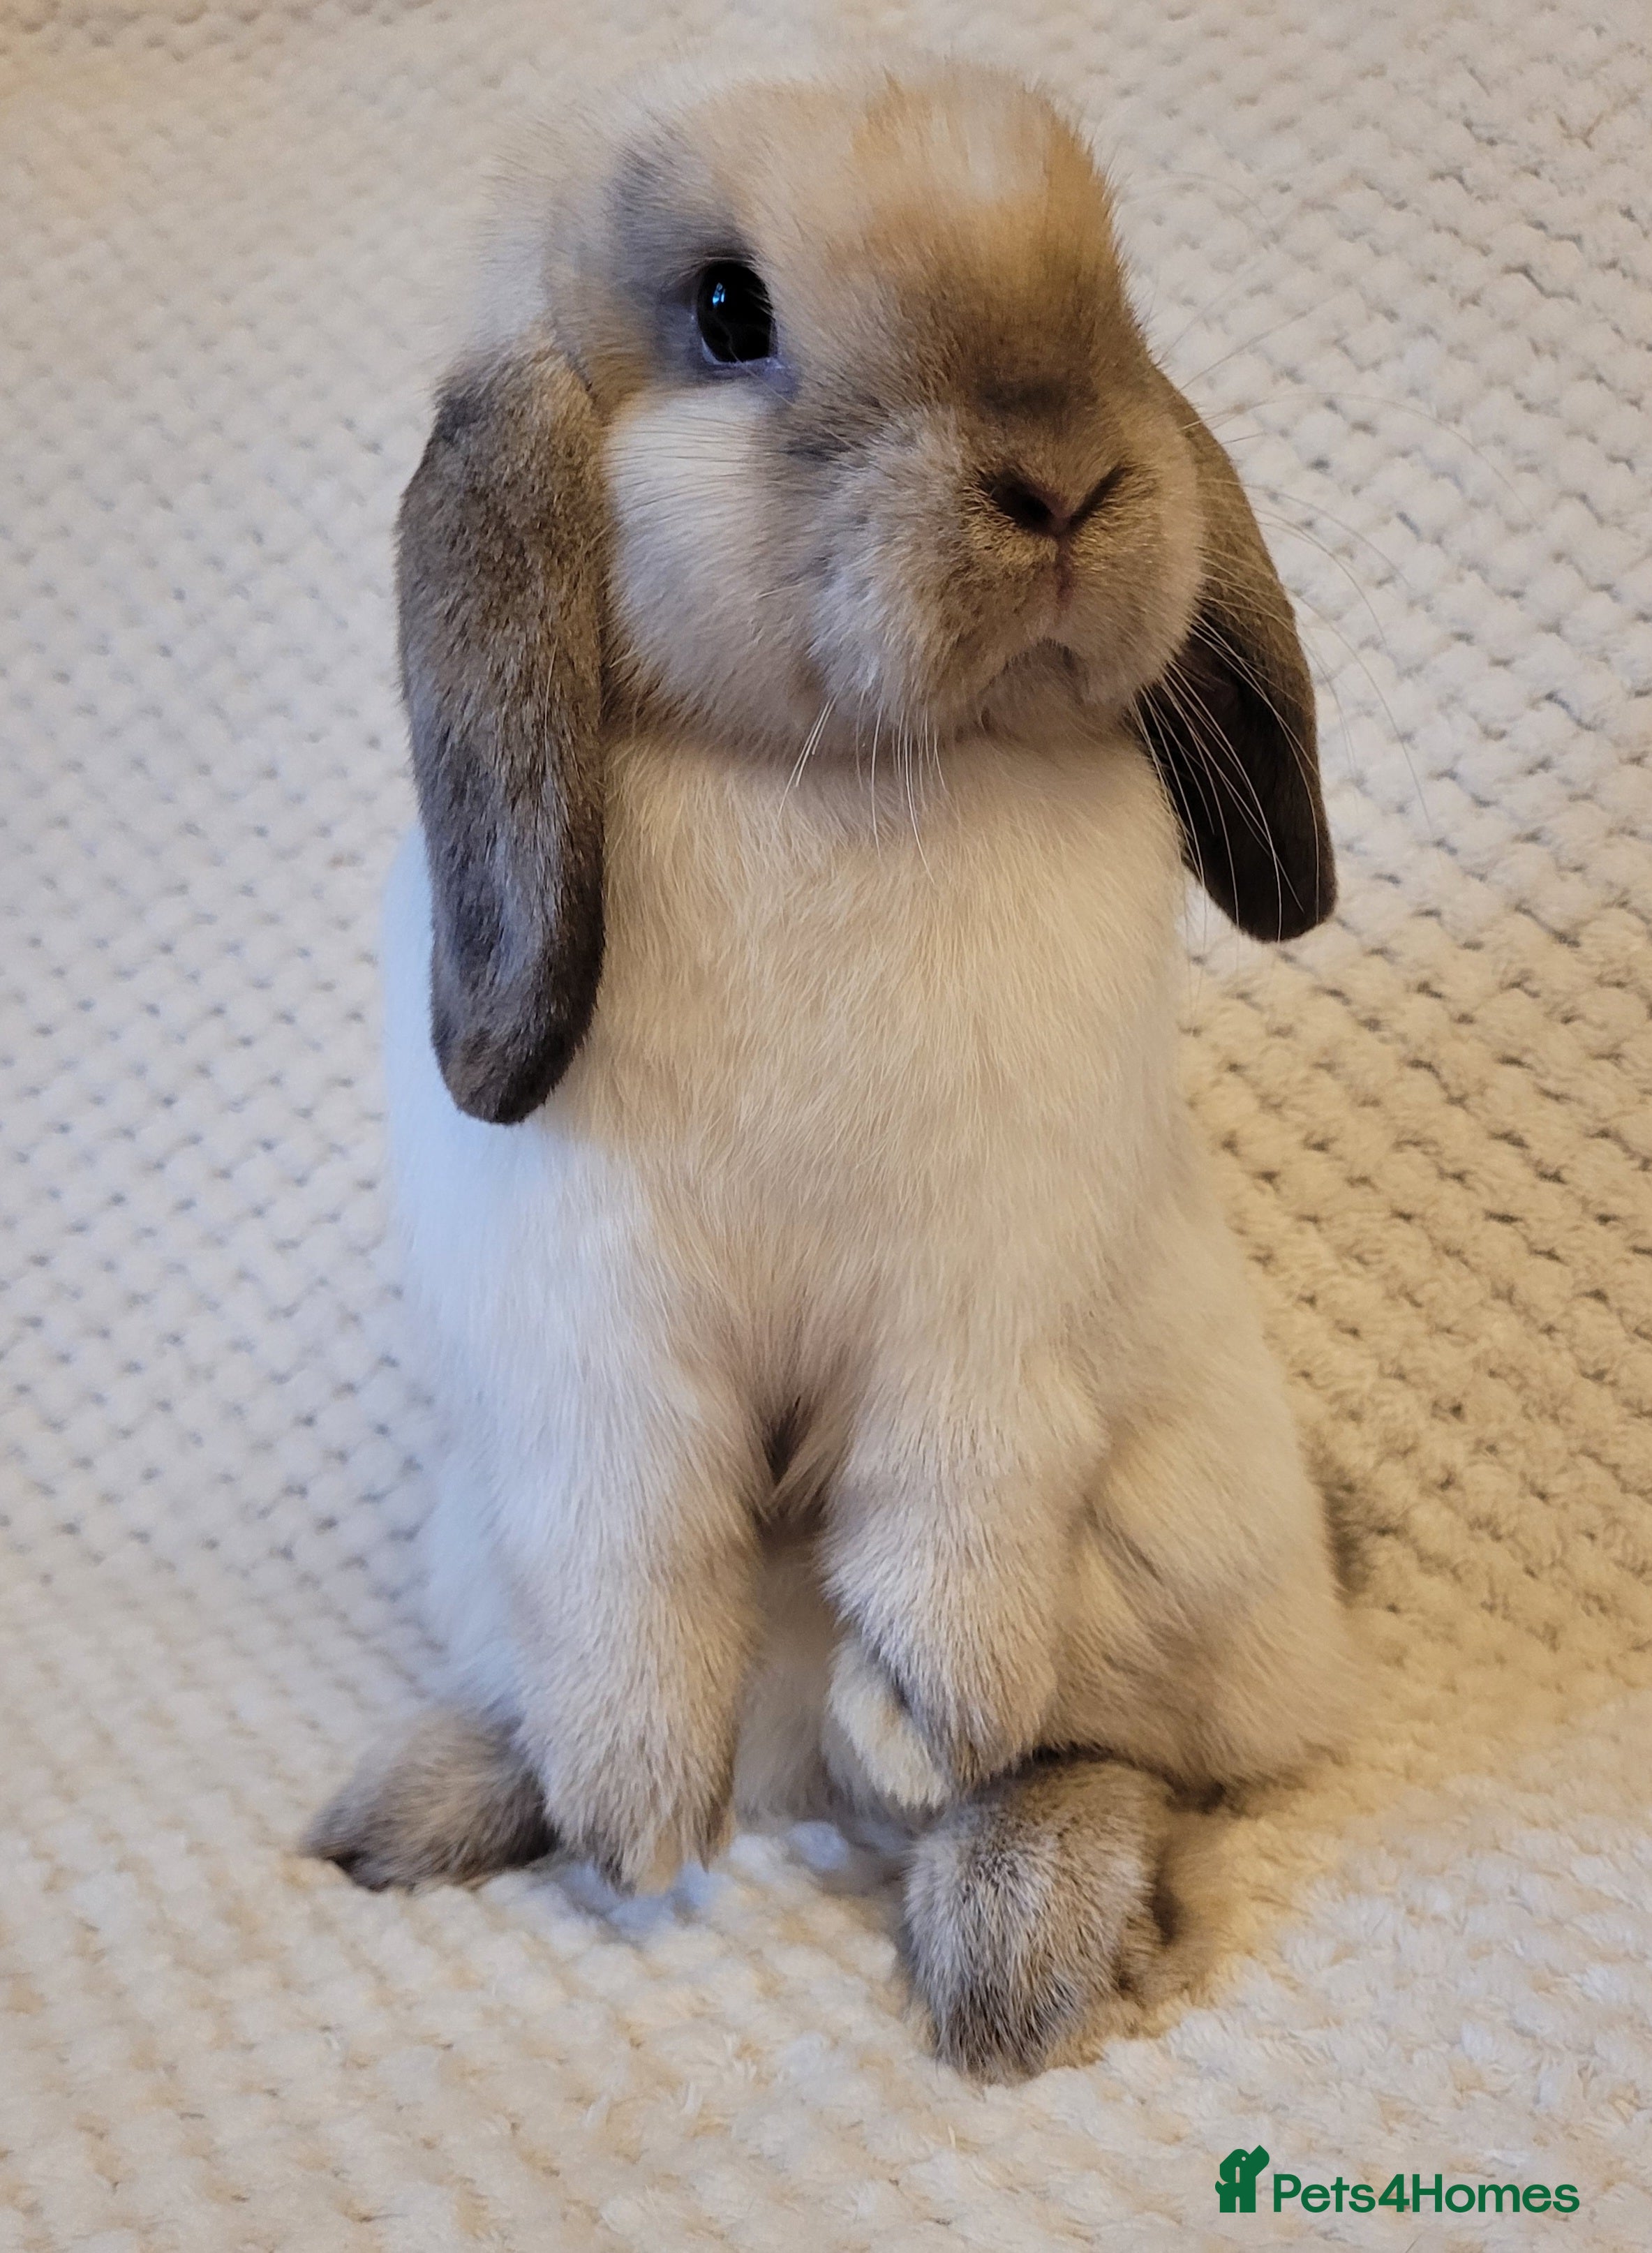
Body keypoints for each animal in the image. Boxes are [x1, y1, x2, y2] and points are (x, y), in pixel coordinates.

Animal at [307, 57, 1357, 2079]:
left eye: (1114, 307)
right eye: (731, 313)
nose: (1068, 481)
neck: (846, 778)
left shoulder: (981, 1318)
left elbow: (950, 1545)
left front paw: (917, 1720)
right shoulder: (596, 1349)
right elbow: (639, 1566)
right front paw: (641, 1820)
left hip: (1178, 1570)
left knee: (1118, 1753)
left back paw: (998, 1930)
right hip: (482, 1542)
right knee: (573, 1652)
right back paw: (432, 1804)